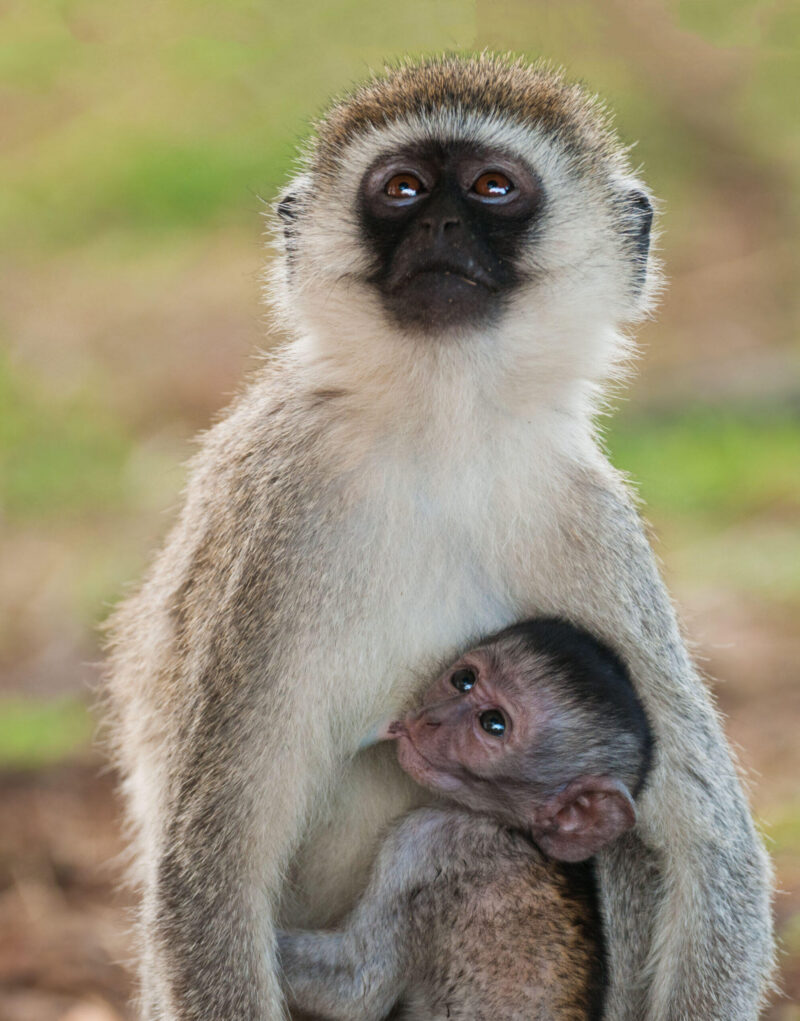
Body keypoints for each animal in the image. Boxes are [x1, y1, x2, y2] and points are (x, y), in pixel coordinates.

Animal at [277, 618, 653, 1021]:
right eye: (464, 680)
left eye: (493, 723)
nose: (431, 719)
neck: (509, 829)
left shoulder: (427, 844)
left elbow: (354, 987)